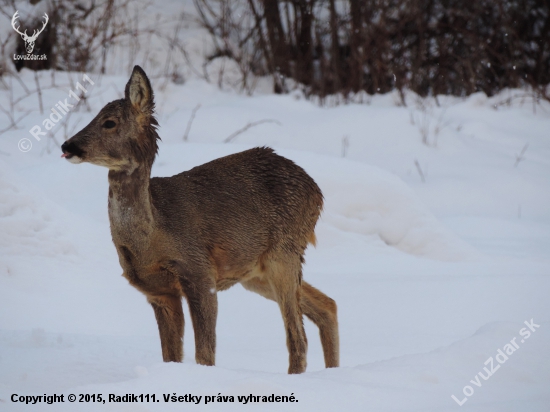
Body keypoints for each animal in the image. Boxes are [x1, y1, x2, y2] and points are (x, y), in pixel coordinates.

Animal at [58, 64, 338, 374]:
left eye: (109, 122)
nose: (67, 145)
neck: (153, 237)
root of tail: (317, 191)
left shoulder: (199, 272)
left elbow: (204, 354)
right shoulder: (158, 292)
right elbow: (171, 355)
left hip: (284, 252)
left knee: (298, 338)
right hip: (256, 272)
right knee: (328, 305)